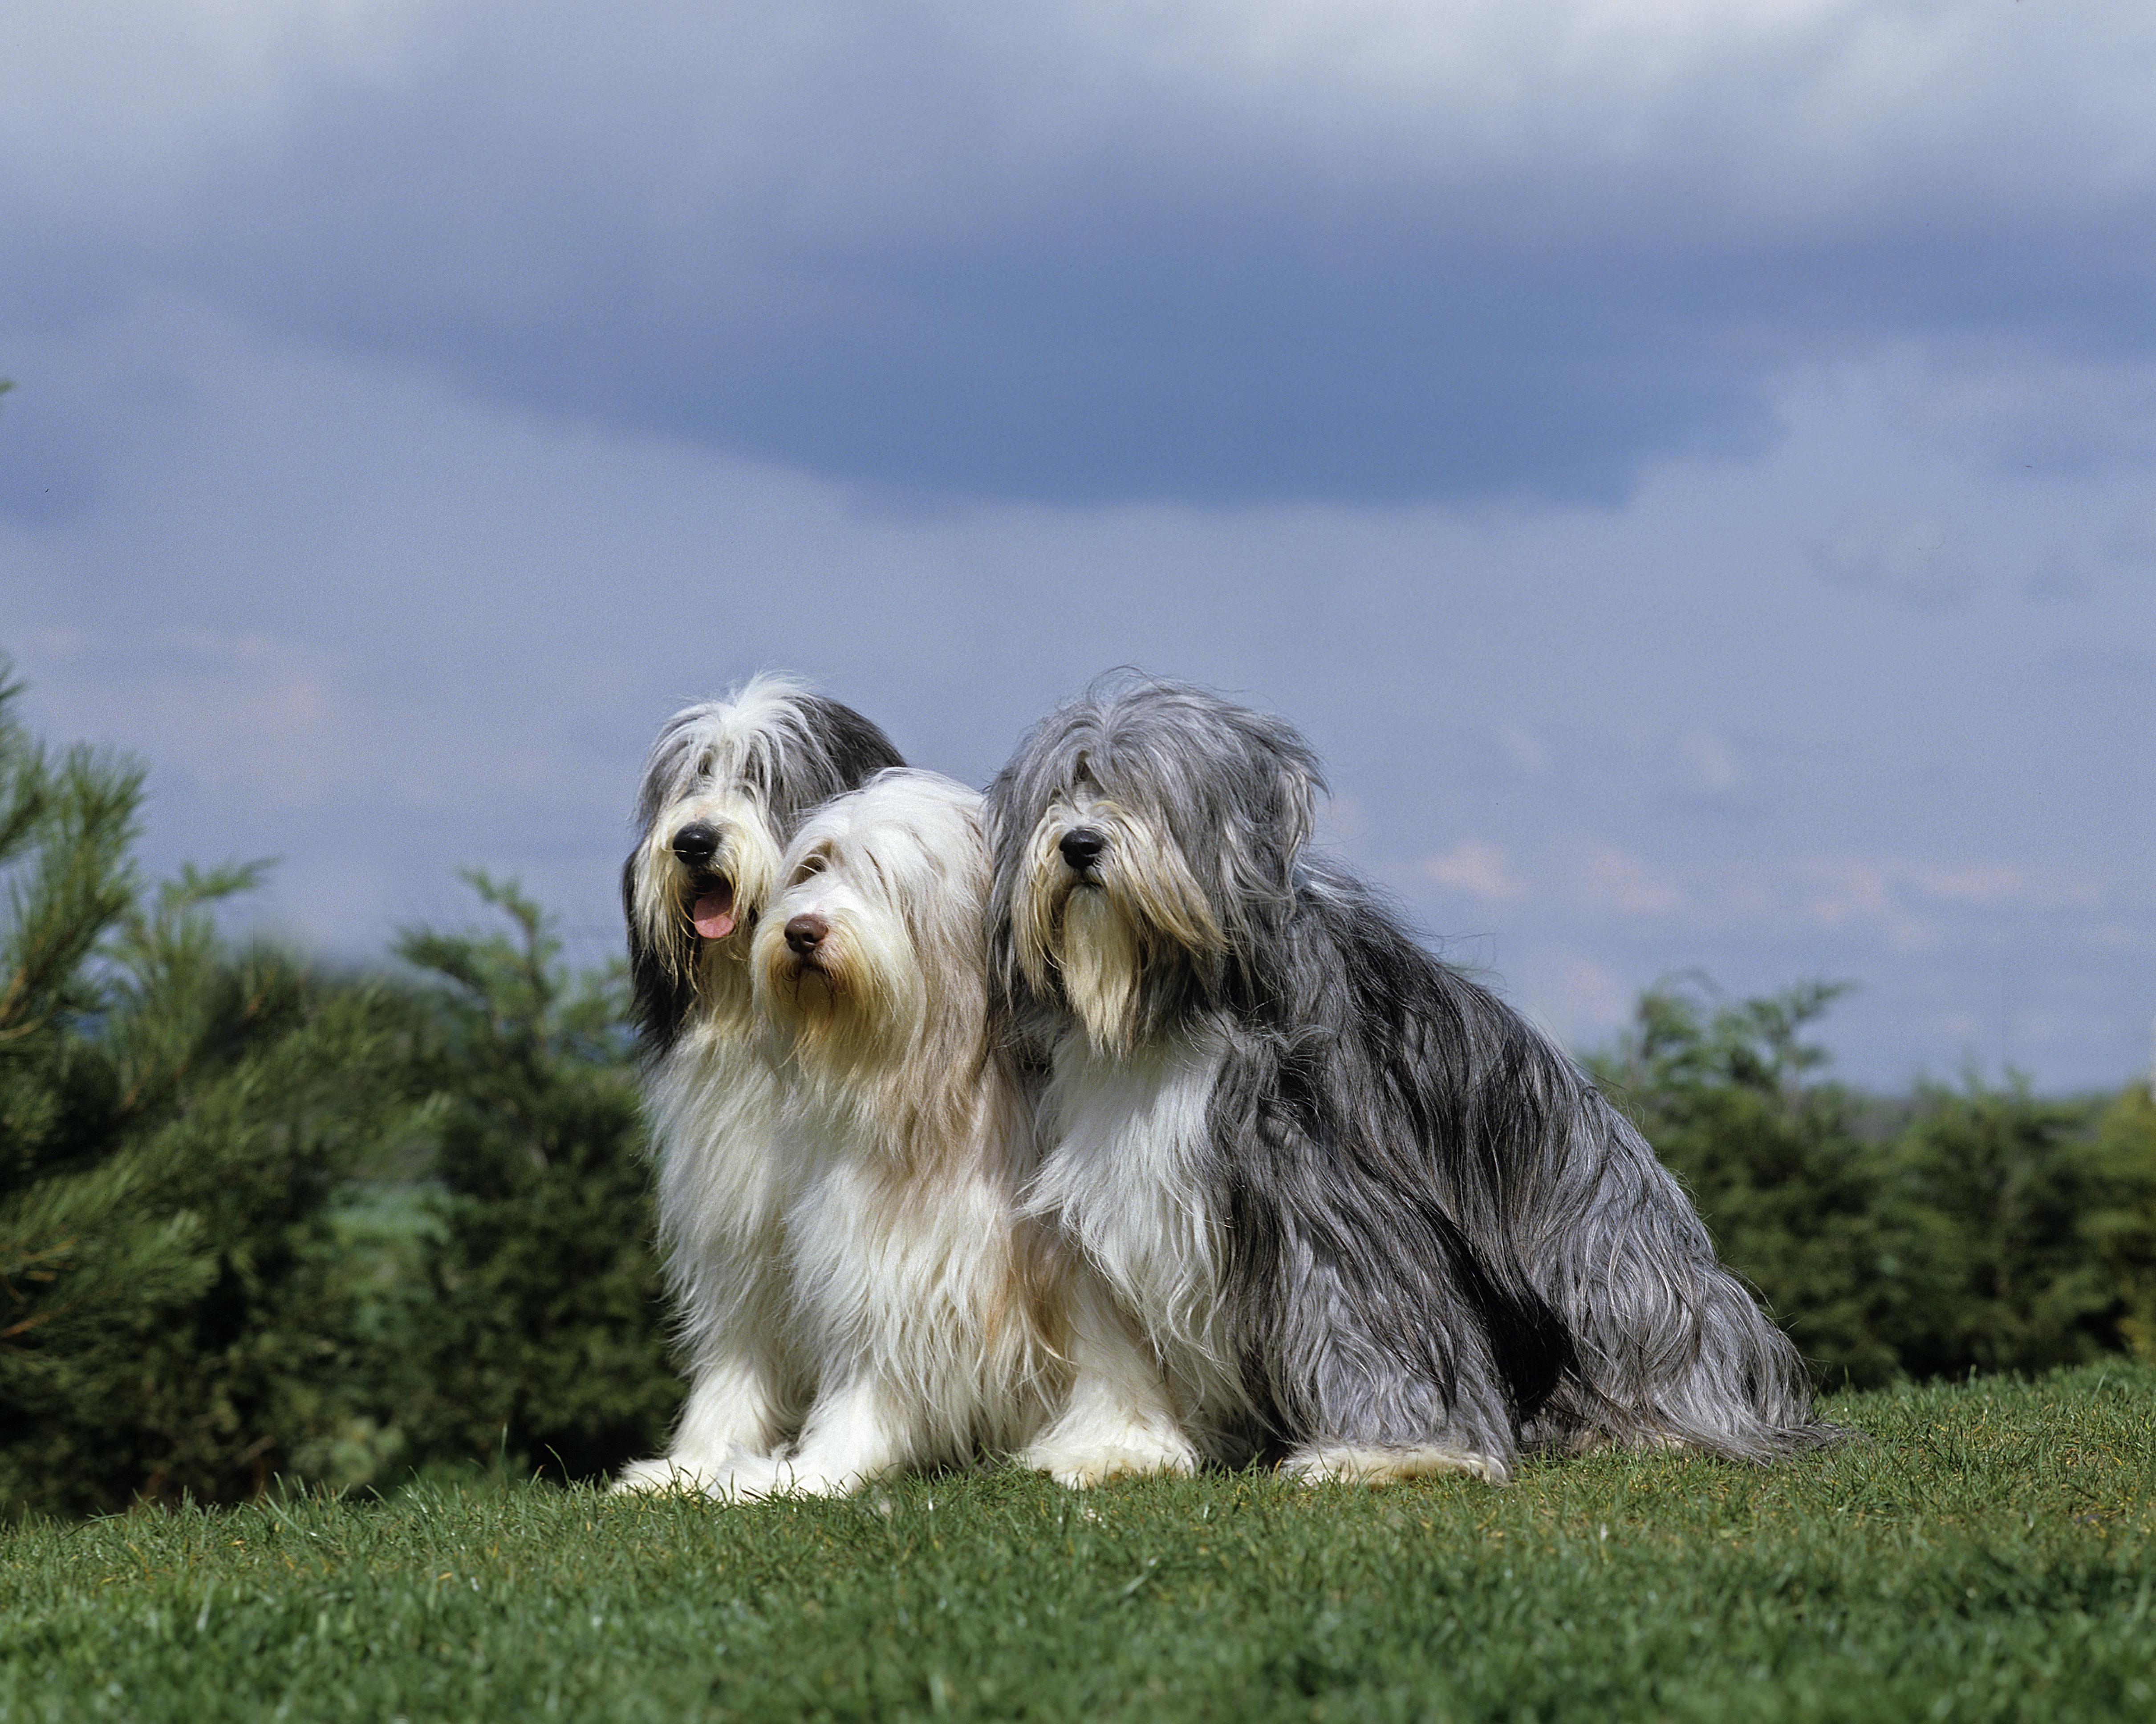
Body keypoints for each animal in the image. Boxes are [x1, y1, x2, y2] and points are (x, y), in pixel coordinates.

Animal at [612, 677, 905, 1491]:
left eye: (765, 778)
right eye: (693, 778)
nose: (692, 842)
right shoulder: (741, 1221)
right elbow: (738, 1345)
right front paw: (695, 1460)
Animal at [987, 672, 1828, 1482]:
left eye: (1144, 790)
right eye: (1060, 792)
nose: (1080, 844)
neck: (1169, 1005)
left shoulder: (1332, 1190)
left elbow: (1361, 1309)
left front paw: (1389, 1452)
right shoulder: (1105, 1205)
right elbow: (1113, 1343)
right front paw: (1114, 1449)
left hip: (1607, 1259)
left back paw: (1659, 1429)